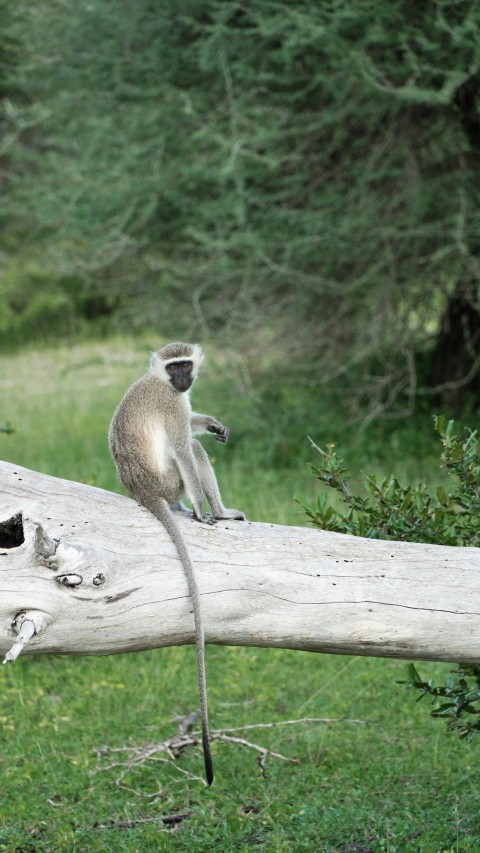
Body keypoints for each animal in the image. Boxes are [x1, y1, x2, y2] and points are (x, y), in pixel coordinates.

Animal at [108, 342, 244, 784]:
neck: (163, 384)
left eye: (186, 365)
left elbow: (193, 423)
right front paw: (204, 511)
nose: (184, 380)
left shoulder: (181, 400)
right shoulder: (171, 404)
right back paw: (213, 511)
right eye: (174, 367)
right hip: (170, 480)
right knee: (193, 454)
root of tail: (142, 491)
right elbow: (184, 445)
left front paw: (212, 422)